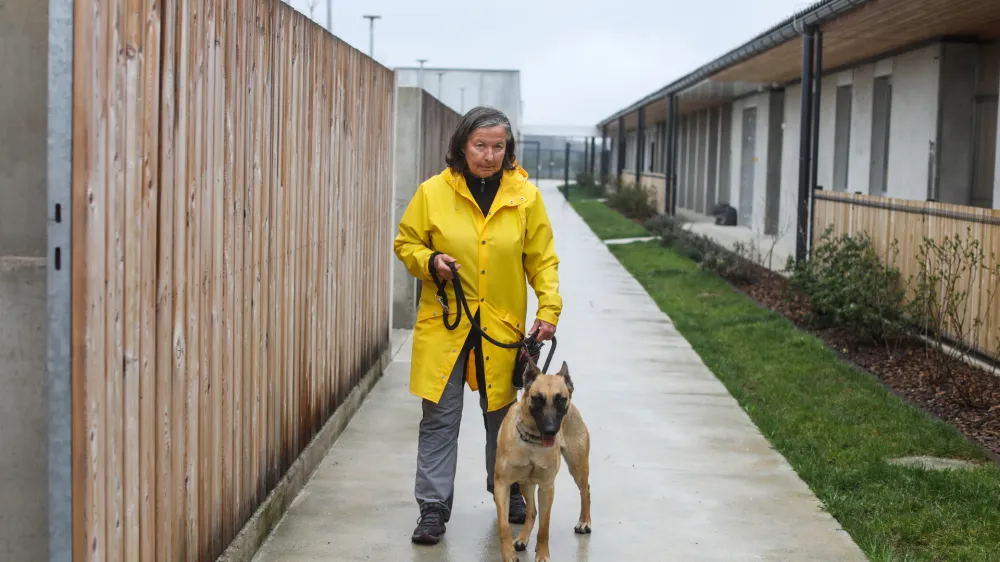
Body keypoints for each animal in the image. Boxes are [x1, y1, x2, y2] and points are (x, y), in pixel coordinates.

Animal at [494, 358, 592, 560]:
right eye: (537, 398)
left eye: (560, 399)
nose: (550, 431)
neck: (532, 441)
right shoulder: (502, 485)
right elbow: (504, 526)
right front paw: (508, 555)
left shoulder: (547, 487)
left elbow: (544, 528)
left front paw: (542, 555)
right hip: (526, 482)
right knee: (532, 511)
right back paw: (522, 539)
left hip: (577, 466)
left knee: (585, 490)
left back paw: (584, 522)